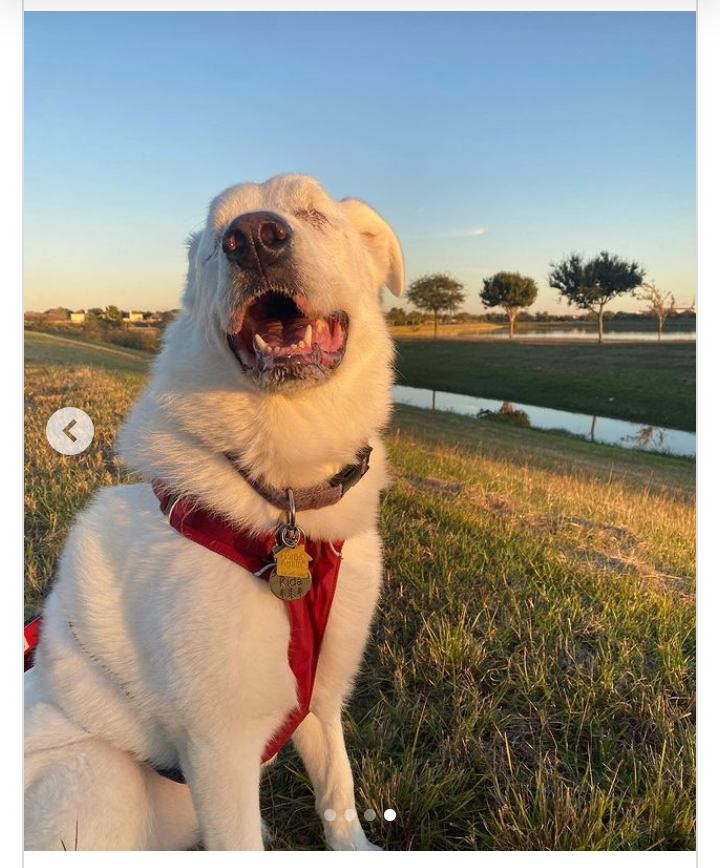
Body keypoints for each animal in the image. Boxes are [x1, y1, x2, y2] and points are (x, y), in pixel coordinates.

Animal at [22, 175, 404, 848]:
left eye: (313, 213)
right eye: (212, 243)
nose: (252, 238)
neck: (282, 500)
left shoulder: (320, 702)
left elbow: (338, 794)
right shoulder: (219, 749)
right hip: (100, 776)